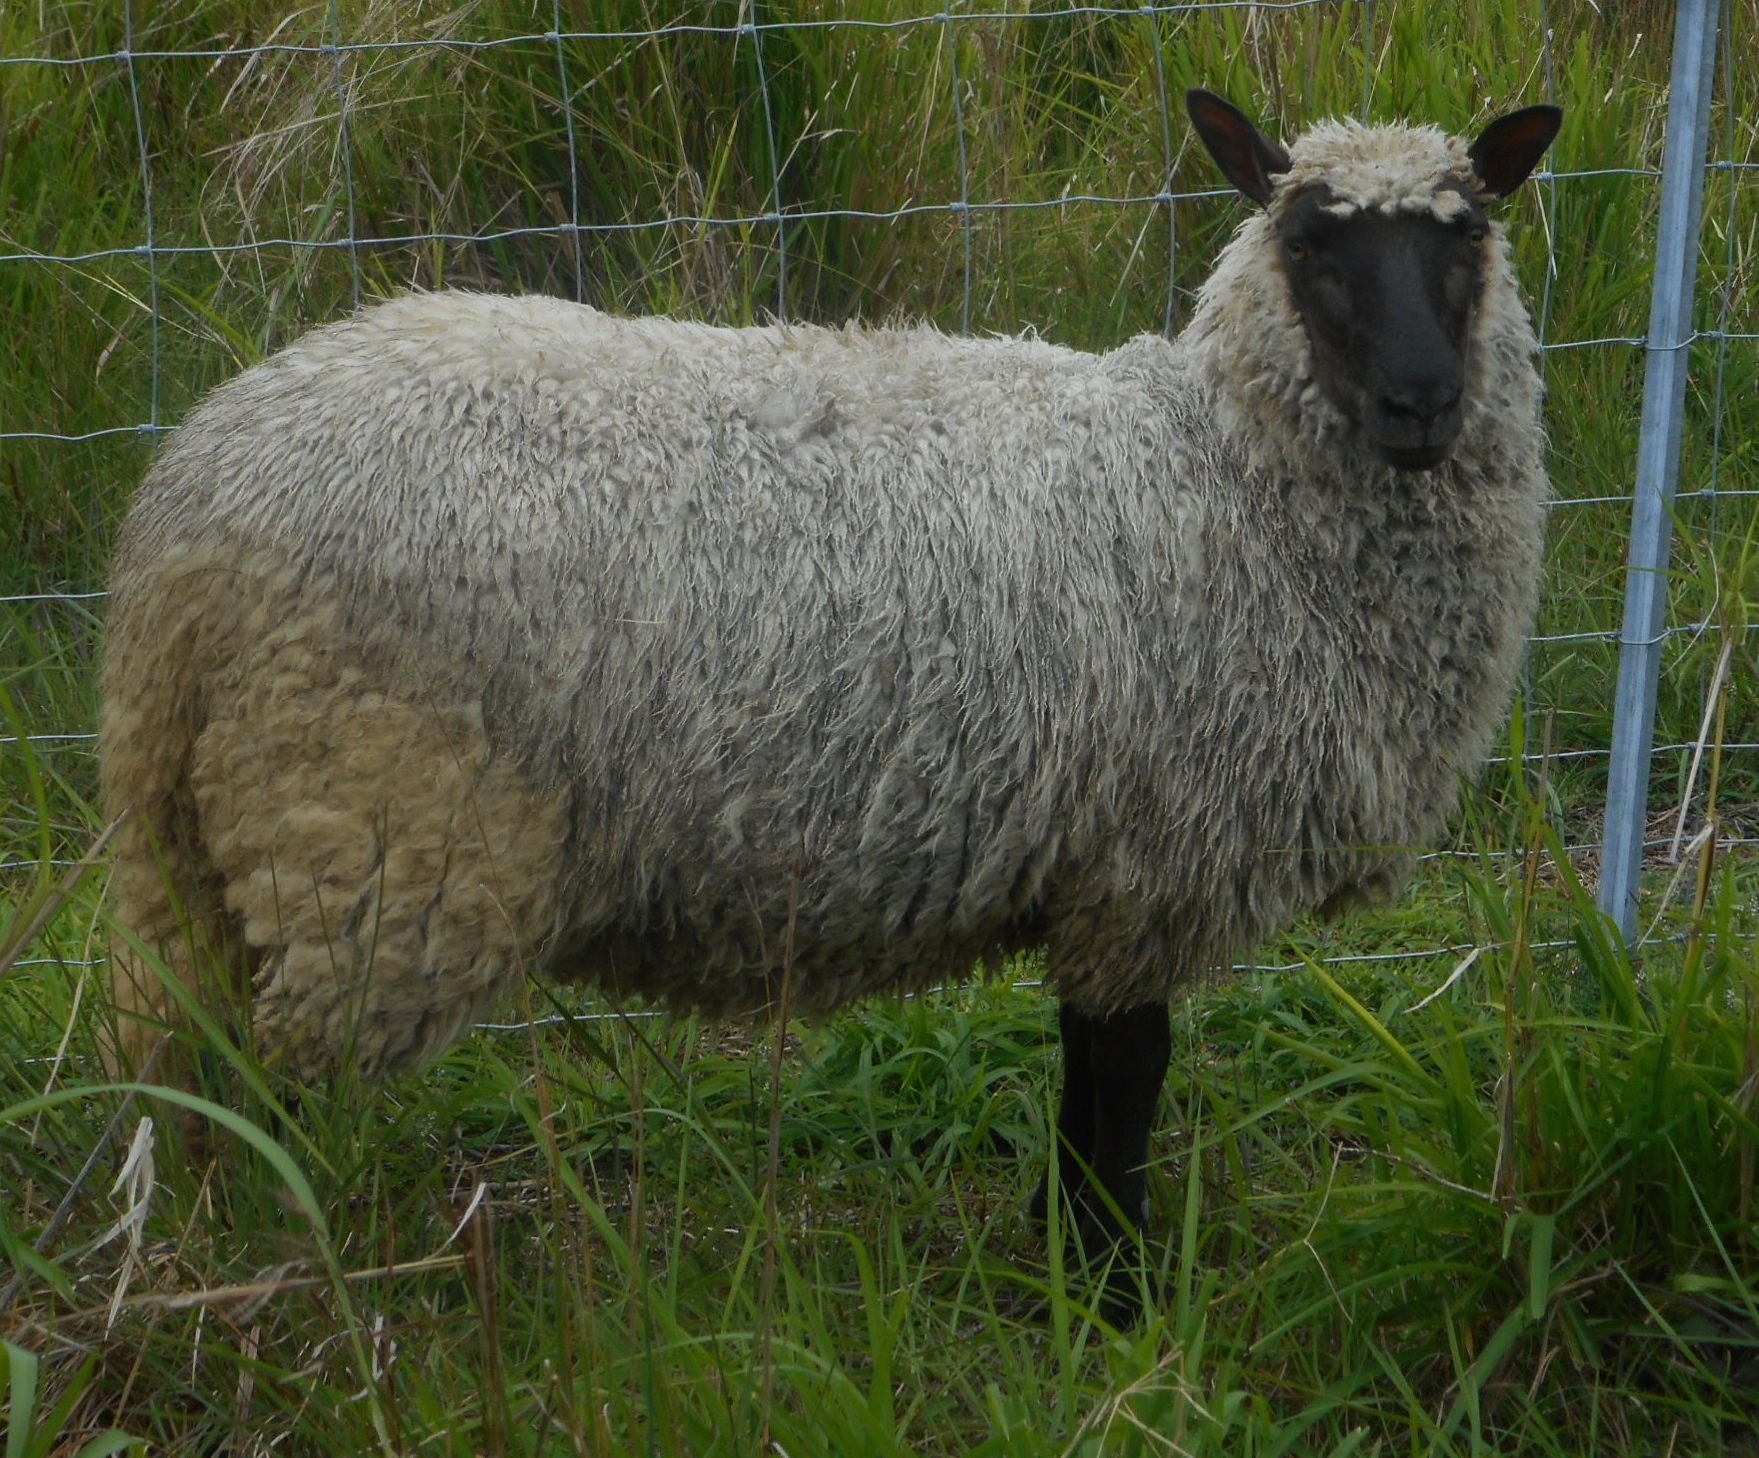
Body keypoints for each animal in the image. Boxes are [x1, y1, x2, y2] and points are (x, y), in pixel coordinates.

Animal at [102, 91, 1561, 1273]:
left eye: (1466, 237)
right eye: (1308, 243)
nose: (1421, 404)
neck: (1218, 474)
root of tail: (190, 508)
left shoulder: (1106, 865)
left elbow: (1088, 1081)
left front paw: (1067, 1268)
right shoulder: (1146, 866)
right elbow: (1120, 1085)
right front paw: (1110, 1293)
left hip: (201, 833)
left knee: (186, 1062)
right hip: (369, 826)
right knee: (267, 1087)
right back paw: (305, 1288)